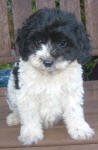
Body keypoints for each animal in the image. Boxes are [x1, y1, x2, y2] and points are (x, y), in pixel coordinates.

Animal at [6, 8, 94, 145]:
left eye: (62, 43)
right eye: (38, 42)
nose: (47, 62)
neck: (50, 75)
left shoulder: (71, 91)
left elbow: (74, 111)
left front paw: (80, 129)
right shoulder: (26, 94)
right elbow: (30, 115)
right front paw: (31, 134)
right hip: (11, 90)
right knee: (16, 108)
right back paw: (14, 117)